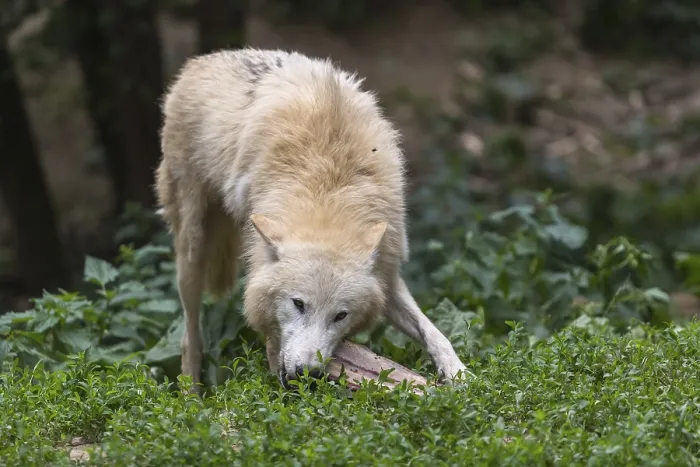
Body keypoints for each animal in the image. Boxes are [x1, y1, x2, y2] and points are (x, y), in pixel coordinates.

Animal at [155, 48, 468, 390]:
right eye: (298, 304)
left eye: (340, 315)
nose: (306, 374)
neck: (328, 191)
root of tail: (201, 61)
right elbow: (272, 343)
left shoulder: (386, 274)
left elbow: (434, 332)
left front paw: (460, 375)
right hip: (193, 248)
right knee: (190, 338)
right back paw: (191, 394)